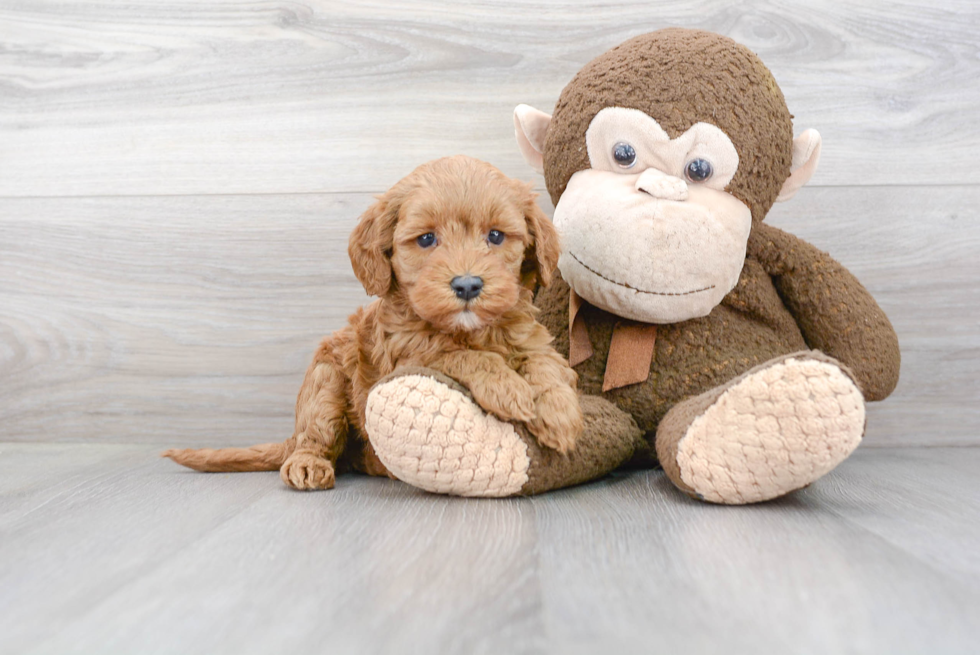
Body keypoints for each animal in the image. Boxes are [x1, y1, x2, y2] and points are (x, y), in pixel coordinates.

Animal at [163, 156, 580, 490]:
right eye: (426, 239)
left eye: (495, 236)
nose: (467, 285)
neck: (469, 329)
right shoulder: (404, 357)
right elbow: (456, 355)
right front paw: (506, 387)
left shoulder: (533, 339)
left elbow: (546, 365)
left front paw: (559, 413)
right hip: (324, 385)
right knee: (315, 437)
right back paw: (307, 464)